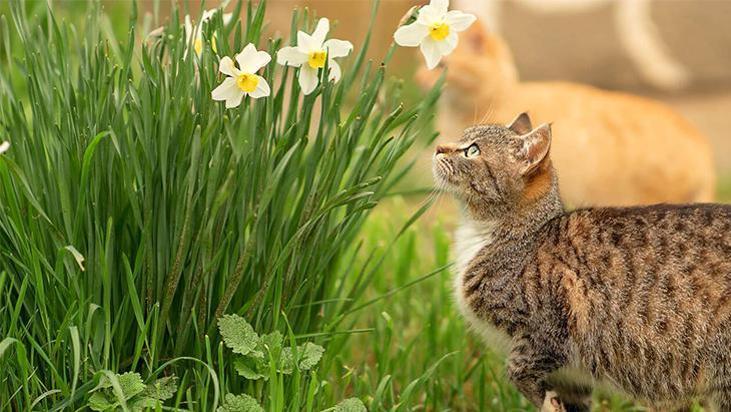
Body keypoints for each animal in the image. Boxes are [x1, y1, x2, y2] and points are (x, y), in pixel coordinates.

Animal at [434, 113, 731, 412]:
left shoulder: (551, 328)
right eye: (462, 137)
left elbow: (517, 369)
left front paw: (543, 399)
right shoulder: (571, 382)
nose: (438, 148)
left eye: (472, 151)